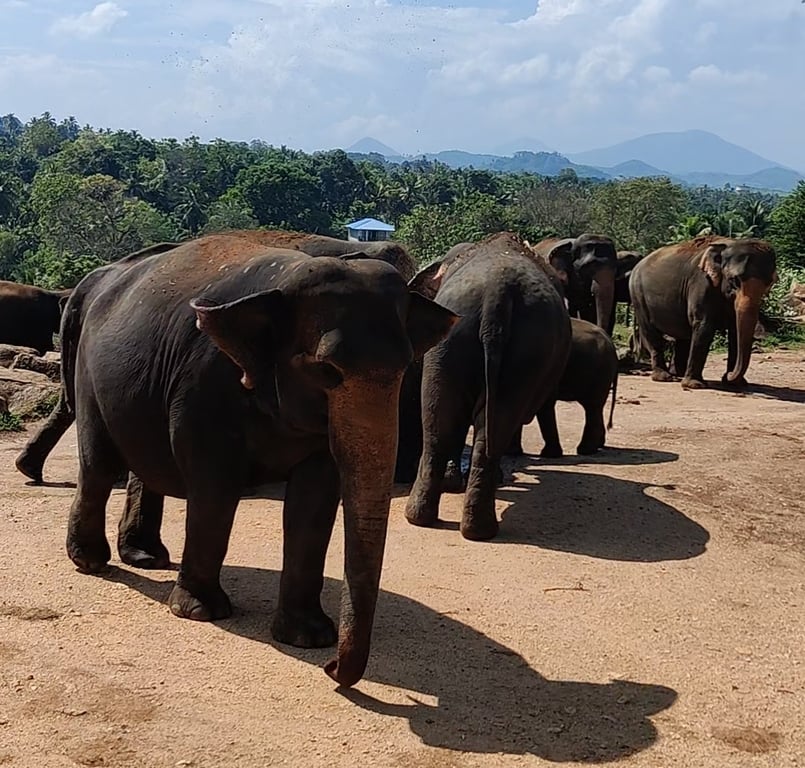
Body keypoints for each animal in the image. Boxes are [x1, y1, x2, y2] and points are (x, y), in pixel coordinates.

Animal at [56, 230, 457, 688]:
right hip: (90, 377)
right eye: (327, 370)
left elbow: (314, 501)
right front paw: (201, 612)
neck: (285, 278)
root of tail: (94, 282)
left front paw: (309, 637)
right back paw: (91, 561)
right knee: (100, 465)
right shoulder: (204, 383)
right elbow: (215, 487)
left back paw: (146, 558)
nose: (332, 668)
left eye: (407, 367)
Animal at [402, 232, 571, 541]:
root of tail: (497, 294)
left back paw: (440, 522)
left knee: (443, 422)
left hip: (474, 345)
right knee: (475, 422)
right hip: (509, 349)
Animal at [629, 236, 776, 389]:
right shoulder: (701, 283)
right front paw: (695, 385)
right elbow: (704, 326)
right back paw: (664, 377)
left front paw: (736, 384)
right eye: (734, 280)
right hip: (637, 295)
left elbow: (735, 330)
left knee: (683, 335)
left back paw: (678, 374)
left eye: (769, 283)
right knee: (651, 332)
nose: (729, 375)